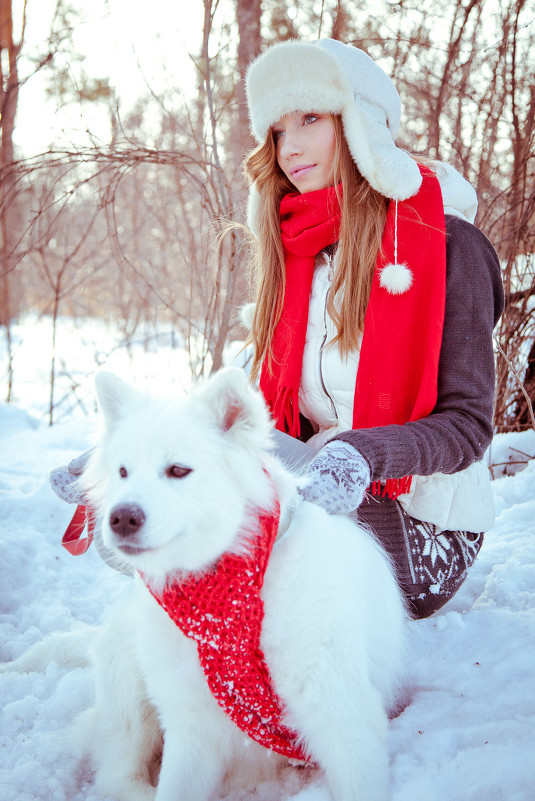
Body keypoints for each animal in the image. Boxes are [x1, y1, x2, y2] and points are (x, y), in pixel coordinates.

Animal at [2, 368, 408, 800]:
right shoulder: (192, 729)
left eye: (178, 470)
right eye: (123, 472)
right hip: (134, 695)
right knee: (118, 772)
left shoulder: (342, 715)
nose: (120, 518)